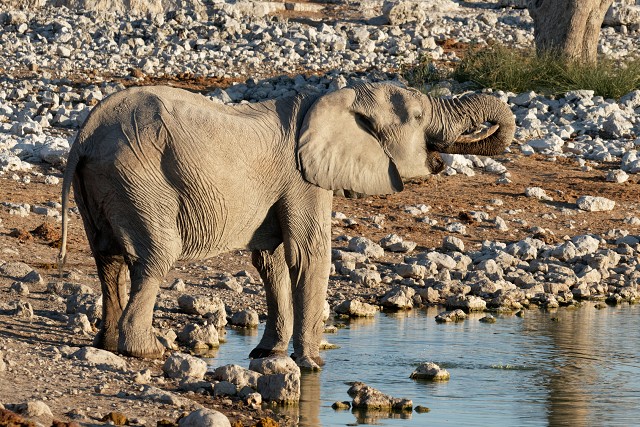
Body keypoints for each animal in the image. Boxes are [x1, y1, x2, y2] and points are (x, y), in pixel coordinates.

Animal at [58, 82, 515, 369]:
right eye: (419, 116)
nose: (441, 156)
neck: (336, 98)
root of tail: (86, 134)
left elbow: (271, 260)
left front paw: (266, 356)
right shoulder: (304, 177)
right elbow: (308, 254)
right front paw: (313, 364)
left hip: (105, 183)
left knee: (108, 259)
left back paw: (108, 345)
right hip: (138, 176)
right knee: (154, 257)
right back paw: (148, 352)